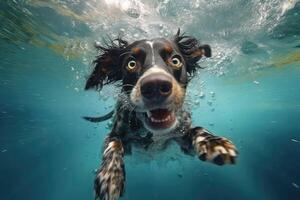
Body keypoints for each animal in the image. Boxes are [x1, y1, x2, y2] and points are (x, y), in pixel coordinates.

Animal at [84, 29, 237, 200]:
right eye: (131, 64)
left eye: (175, 60)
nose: (155, 86)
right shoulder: (117, 135)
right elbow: (114, 144)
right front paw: (109, 177)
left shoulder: (182, 140)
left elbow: (197, 129)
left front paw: (214, 142)